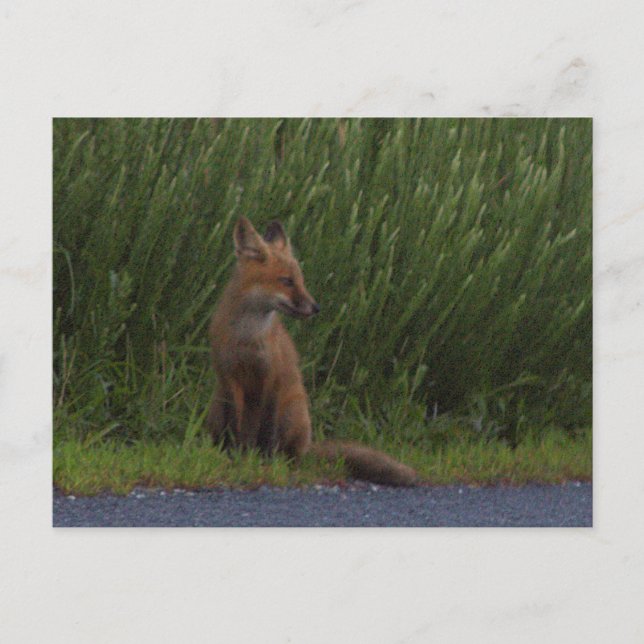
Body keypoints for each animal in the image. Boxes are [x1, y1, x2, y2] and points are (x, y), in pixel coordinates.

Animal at [207, 216, 417, 486]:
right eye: (287, 281)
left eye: (301, 280)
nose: (316, 307)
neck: (248, 338)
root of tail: (309, 447)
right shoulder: (230, 378)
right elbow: (235, 426)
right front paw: (234, 457)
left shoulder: (273, 378)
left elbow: (267, 429)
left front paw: (266, 462)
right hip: (215, 406)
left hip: (293, 409)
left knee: (292, 453)